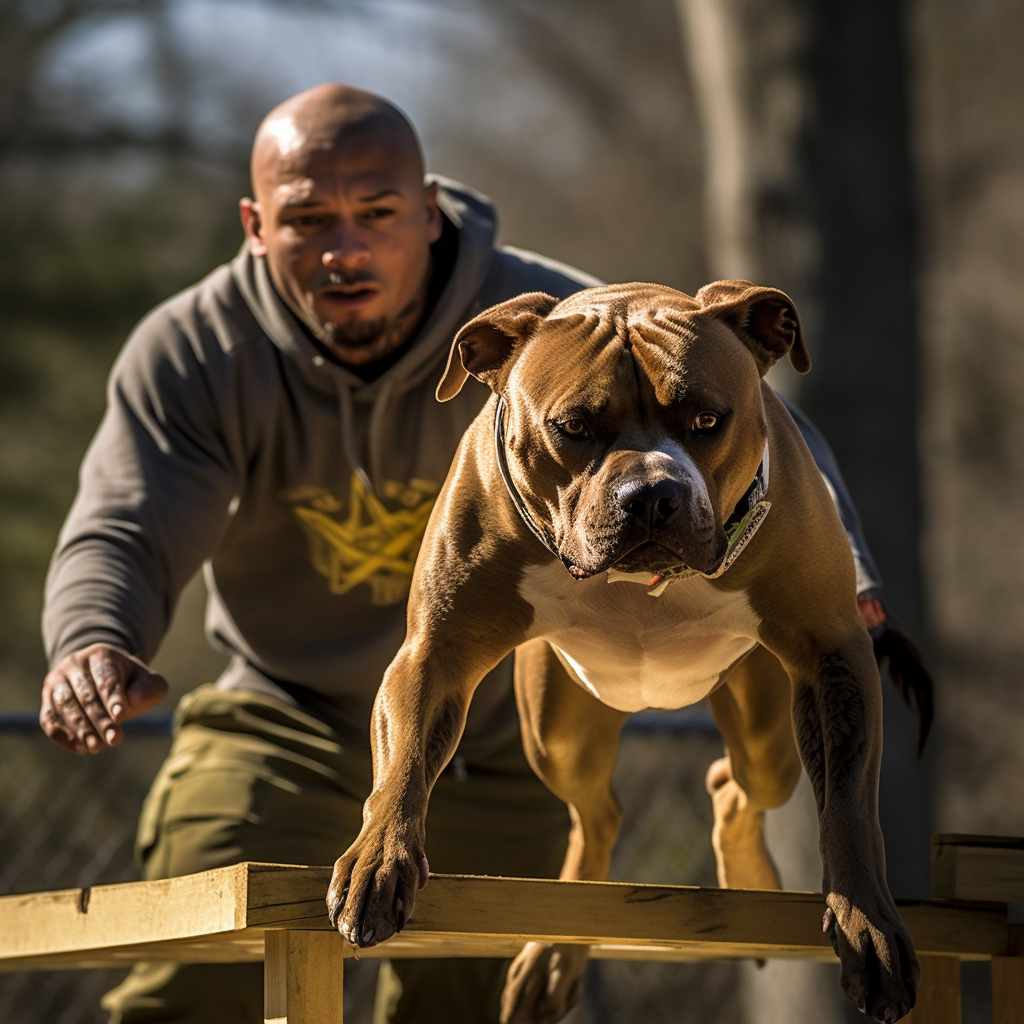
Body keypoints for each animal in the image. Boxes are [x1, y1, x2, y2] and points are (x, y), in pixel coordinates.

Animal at [331, 280, 925, 1024]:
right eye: (574, 427)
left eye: (707, 420)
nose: (651, 495)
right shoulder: (436, 651)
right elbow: (405, 762)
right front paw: (379, 861)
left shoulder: (831, 657)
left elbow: (849, 805)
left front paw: (867, 923)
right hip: (558, 731)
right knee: (601, 816)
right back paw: (554, 957)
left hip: (765, 728)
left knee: (735, 784)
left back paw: (749, 875)